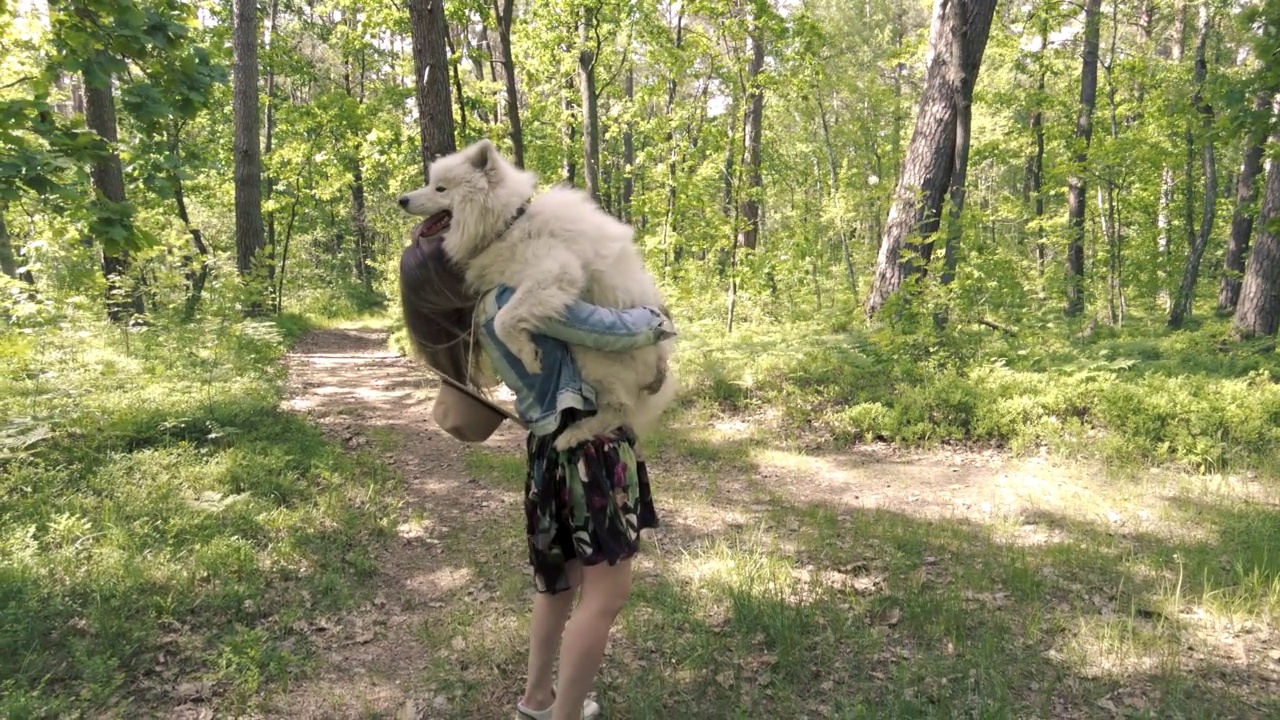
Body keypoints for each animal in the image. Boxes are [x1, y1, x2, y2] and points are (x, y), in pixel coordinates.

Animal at [396, 137, 680, 445]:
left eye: (440, 188)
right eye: (431, 184)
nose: (401, 199)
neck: (507, 224)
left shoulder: (555, 272)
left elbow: (503, 320)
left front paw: (527, 354)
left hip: (591, 357)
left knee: (618, 410)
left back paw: (574, 434)